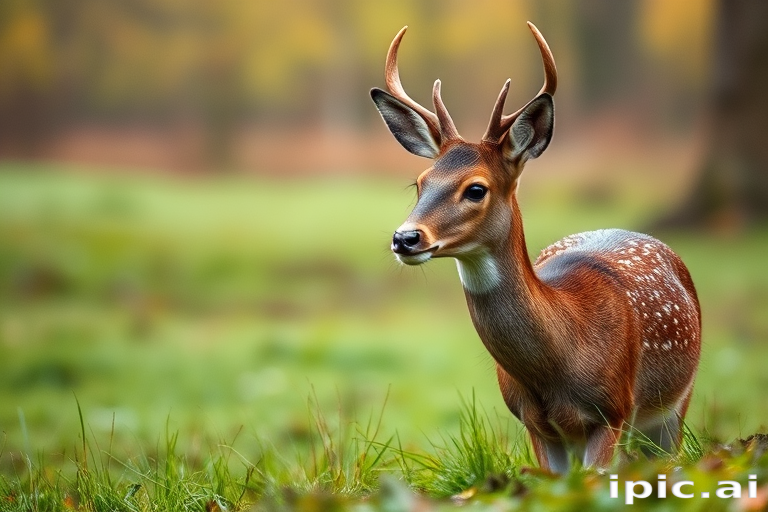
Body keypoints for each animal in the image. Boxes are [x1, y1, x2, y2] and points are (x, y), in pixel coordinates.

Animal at [370, 22, 701, 474]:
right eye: (419, 183)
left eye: (476, 189)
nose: (405, 238)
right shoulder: (534, 422)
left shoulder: (612, 410)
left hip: (675, 404)